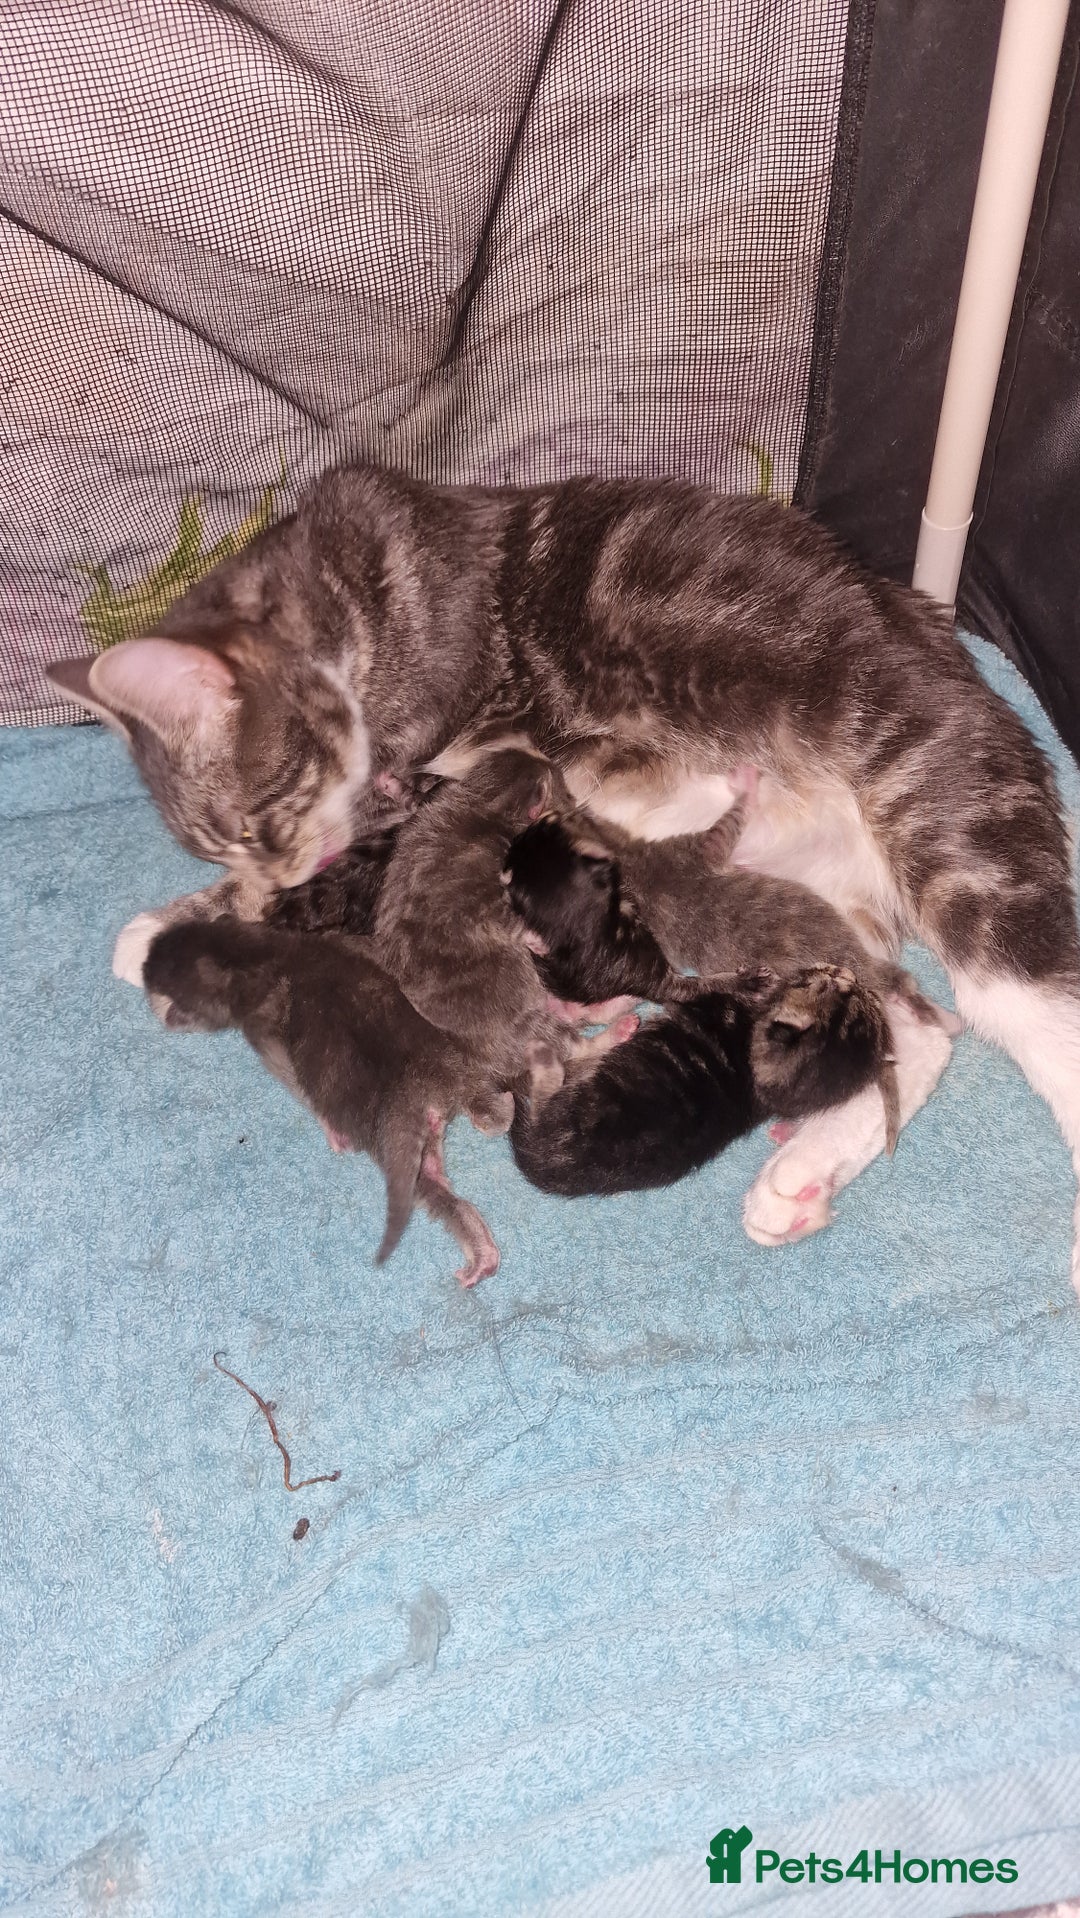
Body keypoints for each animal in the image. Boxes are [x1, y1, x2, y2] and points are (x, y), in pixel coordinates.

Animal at [142, 917, 504, 1286]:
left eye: (162, 978)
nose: (146, 959)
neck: (261, 953)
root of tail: (422, 1087)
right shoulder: (345, 943)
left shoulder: (262, 1030)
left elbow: (287, 1073)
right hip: (454, 1065)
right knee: (485, 1120)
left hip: (390, 1144)